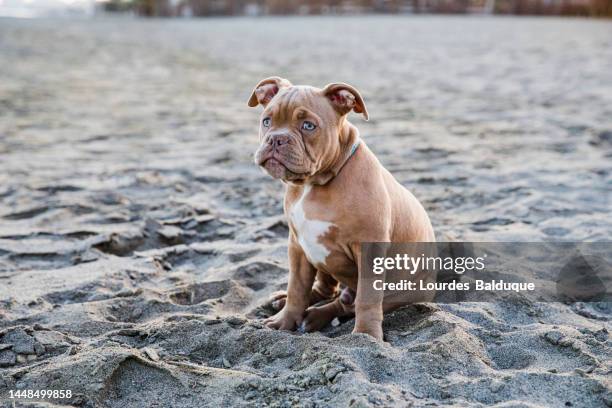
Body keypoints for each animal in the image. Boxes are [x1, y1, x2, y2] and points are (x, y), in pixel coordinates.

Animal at [249, 76, 436, 342]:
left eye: (308, 126)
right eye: (266, 121)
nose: (276, 139)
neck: (313, 183)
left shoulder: (370, 250)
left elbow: (367, 299)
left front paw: (366, 335)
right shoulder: (297, 246)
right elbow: (297, 288)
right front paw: (285, 320)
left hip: (406, 291)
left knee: (347, 303)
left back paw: (316, 316)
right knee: (326, 290)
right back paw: (285, 302)